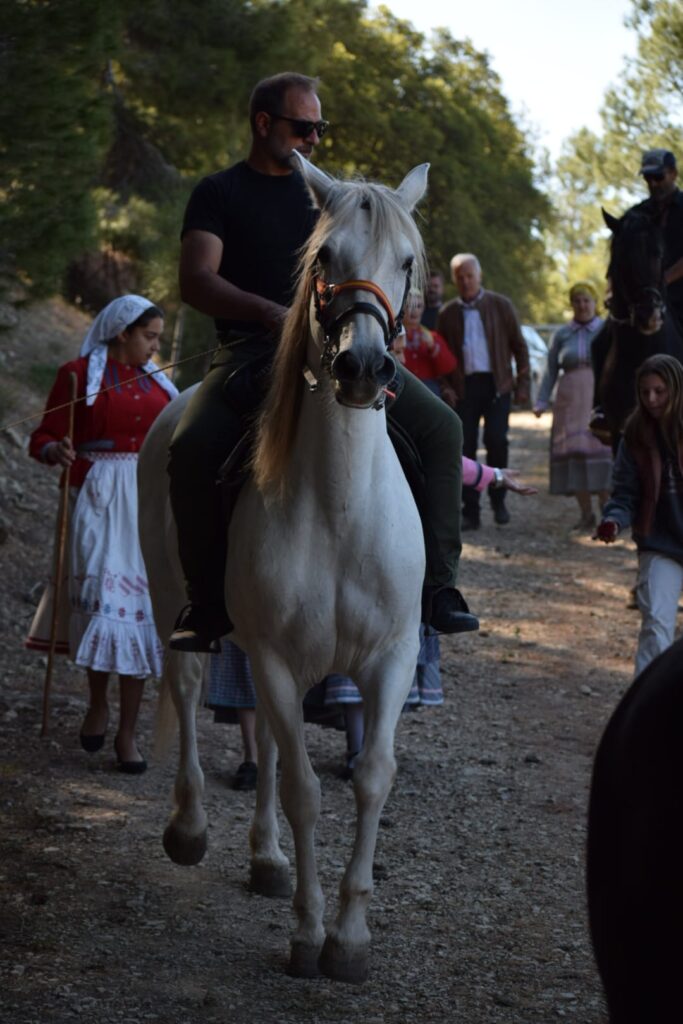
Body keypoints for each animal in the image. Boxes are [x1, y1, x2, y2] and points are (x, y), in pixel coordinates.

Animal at [137, 157, 430, 983]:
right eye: (324, 256)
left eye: (406, 261)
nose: (361, 367)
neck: (337, 506)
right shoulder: (271, 654)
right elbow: (302, 788)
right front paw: (308, 934)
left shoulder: (388, 658)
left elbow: (371, 776)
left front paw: (349, 939)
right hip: (179, 602)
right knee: (191, 690)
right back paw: (190, 829)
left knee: (266, 740)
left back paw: (266, 861)